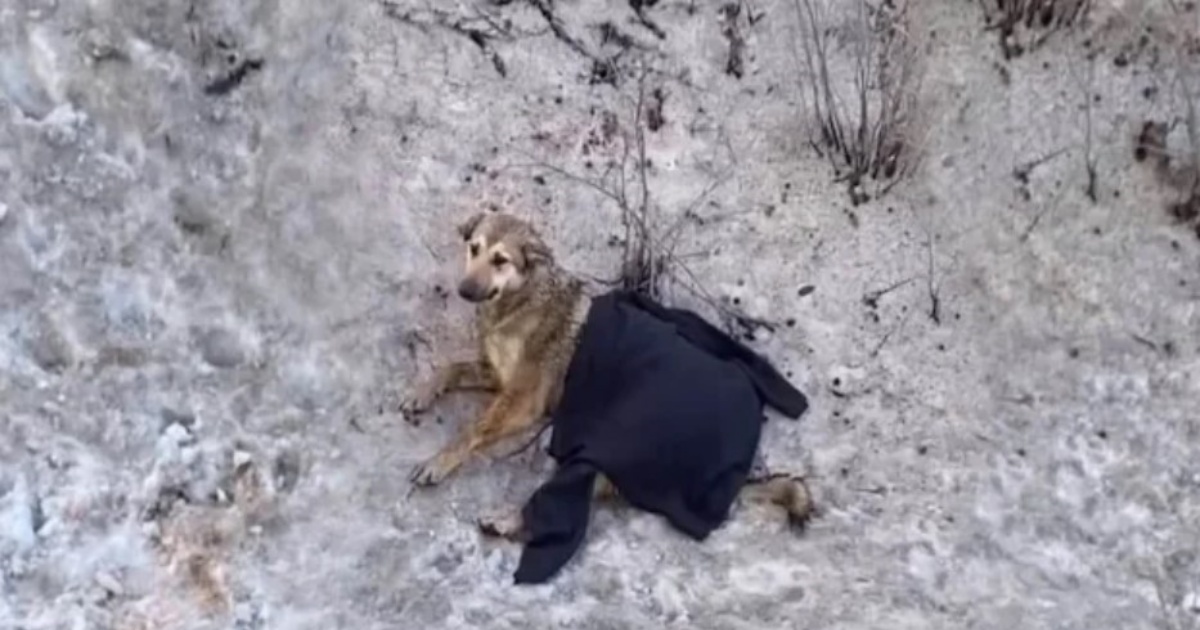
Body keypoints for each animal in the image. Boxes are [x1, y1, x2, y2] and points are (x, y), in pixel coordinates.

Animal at [398, 210, 811, 535]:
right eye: (474, 249)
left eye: (501, 260)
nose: (465, 290)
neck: (523, 299)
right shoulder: (497, 374)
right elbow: (449, 368)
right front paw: (421, 392)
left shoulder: (523, 402)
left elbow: (472, 430)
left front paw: (439, 461)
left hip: (618, 438)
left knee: (577, 495)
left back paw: (507, 519)